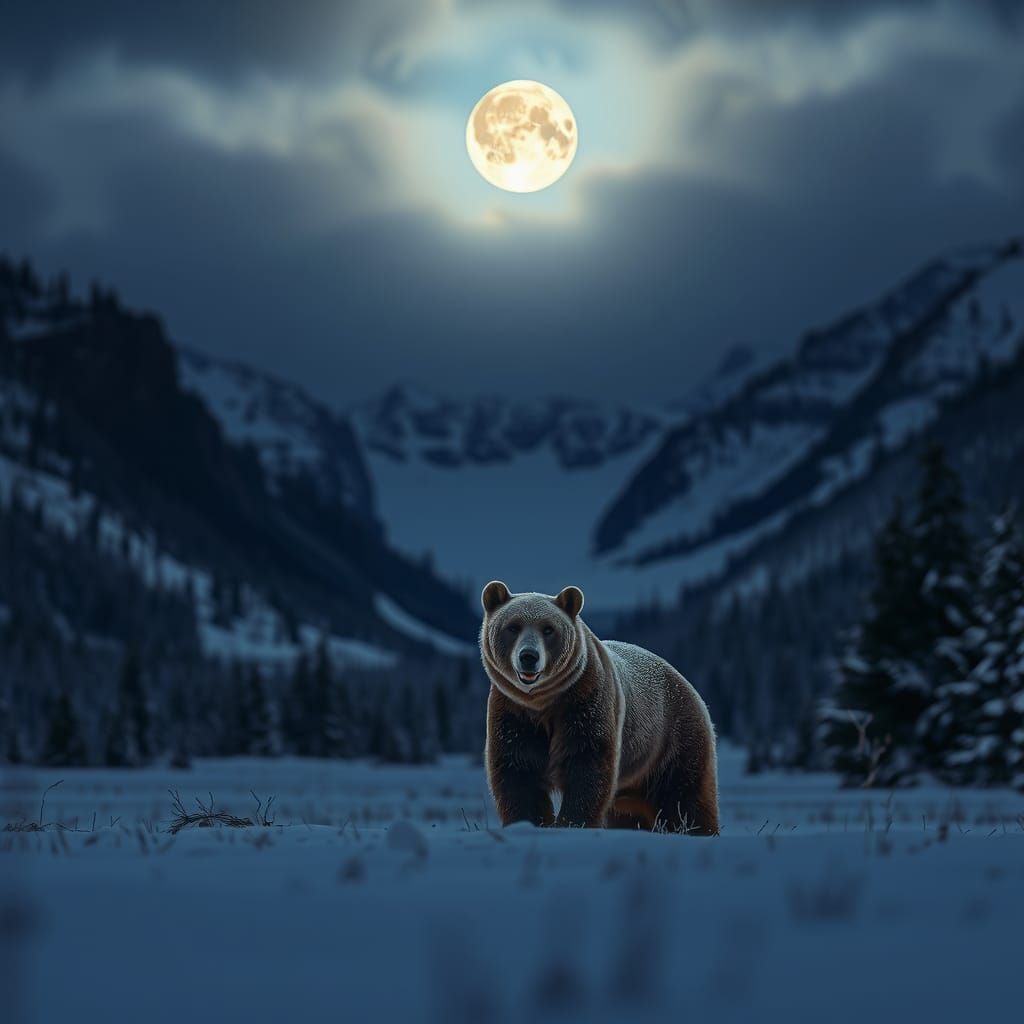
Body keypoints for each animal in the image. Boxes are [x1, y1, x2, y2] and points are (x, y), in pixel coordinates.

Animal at [480, 581, 719, 835]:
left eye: (548, 629)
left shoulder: (586, 700)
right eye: (513, 626)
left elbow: (587, 763)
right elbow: (518, 770)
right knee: (630, 813)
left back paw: (697, 829)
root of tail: (688, 685)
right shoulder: (513, 711)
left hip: (672, 741)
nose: (528, 656)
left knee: (685, 795)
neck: (544, 701)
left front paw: (572, 822)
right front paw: (527, 822)